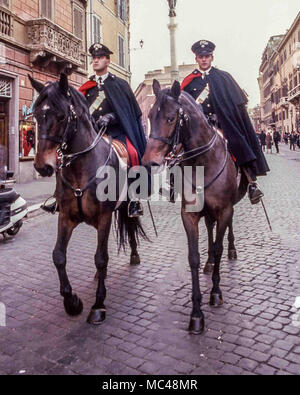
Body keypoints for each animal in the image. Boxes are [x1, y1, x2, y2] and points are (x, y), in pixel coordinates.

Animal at [29, 73, 147, 324]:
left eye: (61, 116)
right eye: (36, 115)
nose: (43, 166)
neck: (81, 167)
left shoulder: (103, 216)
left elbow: (101, 257)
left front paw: (98, 305)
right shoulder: (66, 216)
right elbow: (59, 256)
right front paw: (72, 302)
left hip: (124, 206)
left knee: (130, 224)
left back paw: (134, 255)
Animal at [142, 79, 247, 334]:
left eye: (171, 118)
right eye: (149, 116)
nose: (150, 162)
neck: (204, 161)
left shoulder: (224, 209)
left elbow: (218, 247)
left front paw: (216, 293)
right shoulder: (189, 216)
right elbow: (193, 257)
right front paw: (197, 312)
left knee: (227, 230)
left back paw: (231, 249)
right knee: (209, 228)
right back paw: (209, 264)